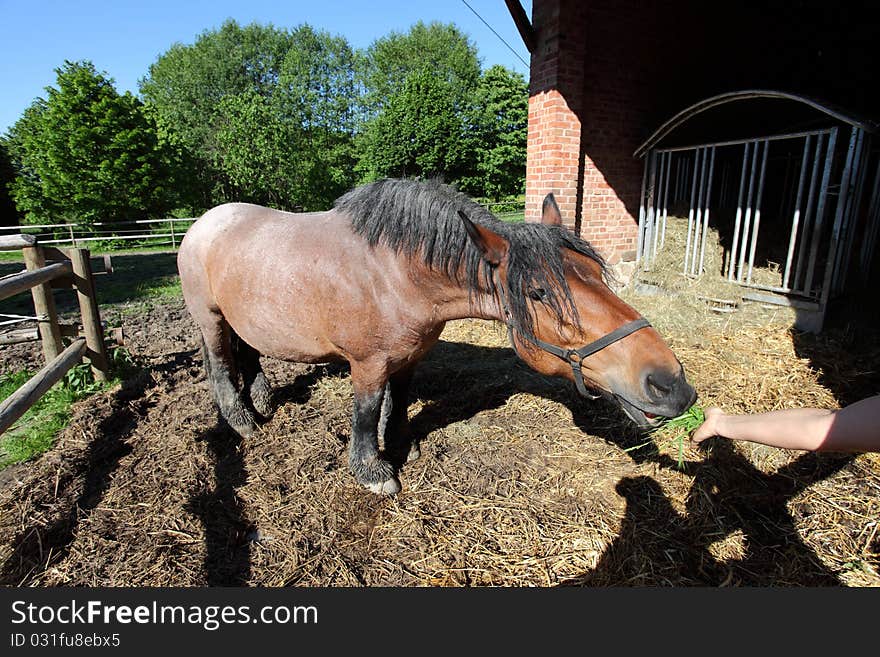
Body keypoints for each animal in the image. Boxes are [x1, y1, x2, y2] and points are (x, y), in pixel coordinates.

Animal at [175, 178, 692, 492]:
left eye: (599, 275)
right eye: (539, 292)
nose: (671, 384)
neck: (395, 273)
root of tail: (202, 223)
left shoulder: (409, 355)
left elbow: (398, 401)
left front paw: (402, 441)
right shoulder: (367, 363)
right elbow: (366, 412)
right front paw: (373, 469)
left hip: (242, 316)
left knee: (249, 353)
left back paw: (262, 396)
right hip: (210, 318)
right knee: (221, 365)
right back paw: (243, 418)